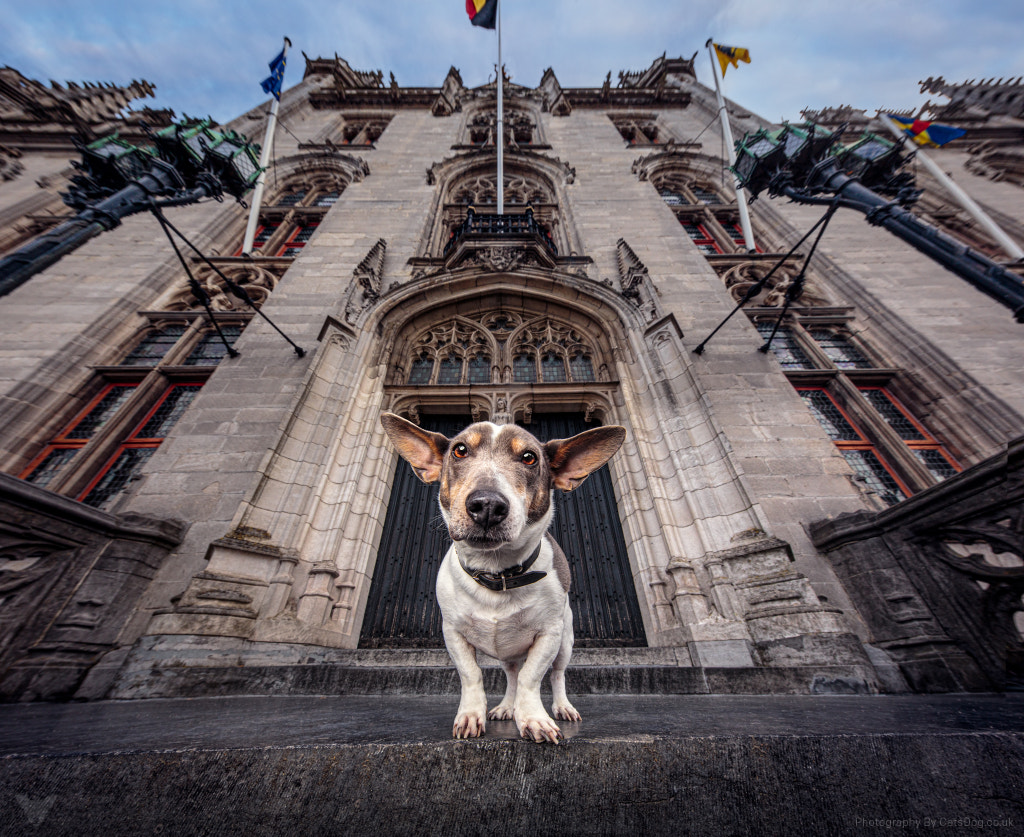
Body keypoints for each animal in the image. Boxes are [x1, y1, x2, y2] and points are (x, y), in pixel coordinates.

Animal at [380, 413, 622, 741]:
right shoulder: (453, 634)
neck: (497, 573)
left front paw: (533, 718)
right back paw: (507, 707)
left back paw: (561, 707)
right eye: (459, 450)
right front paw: (471, 715)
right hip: (507, 654)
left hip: (566, 642)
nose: (487, 505)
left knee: (555, 675)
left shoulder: (549, 635)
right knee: (512, 677)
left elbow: (532, 678)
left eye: (529, 457)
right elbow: (472, 674)